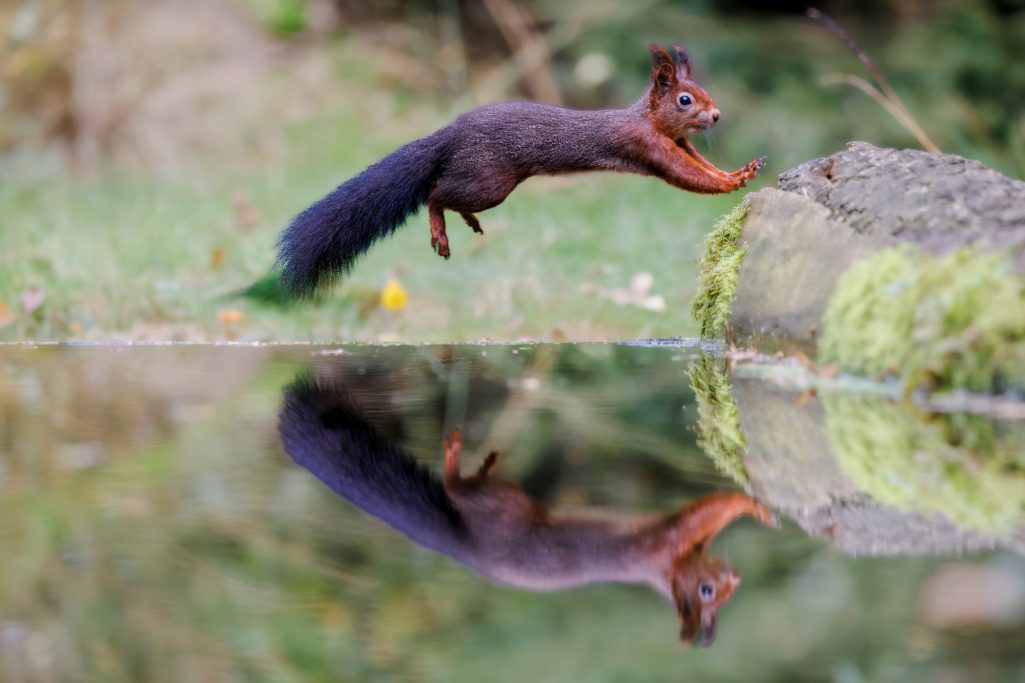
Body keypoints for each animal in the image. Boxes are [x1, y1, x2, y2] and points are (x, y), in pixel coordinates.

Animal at [276, 42, 766, 293]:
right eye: (685, 100)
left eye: (702, 92)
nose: (716, 116)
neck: (647, 119)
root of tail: (452, 133)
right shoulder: (648, 147)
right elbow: (688, 176)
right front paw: (734, 182)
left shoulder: (681, 144)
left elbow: (703, 167)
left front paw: (737, 172)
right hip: (489, 181)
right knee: (435, 193)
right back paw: (441, 230)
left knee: (447, 194)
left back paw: (466, 221)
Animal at [276, 373, 770, 644]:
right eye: (706, 592)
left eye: (725, 596)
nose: (736, 579)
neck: (663, 571)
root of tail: (465, 545)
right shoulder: (665, 542)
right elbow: (706, 510)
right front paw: (752, 504)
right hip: (502, 504)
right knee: (456, 488)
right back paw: (455, 455)